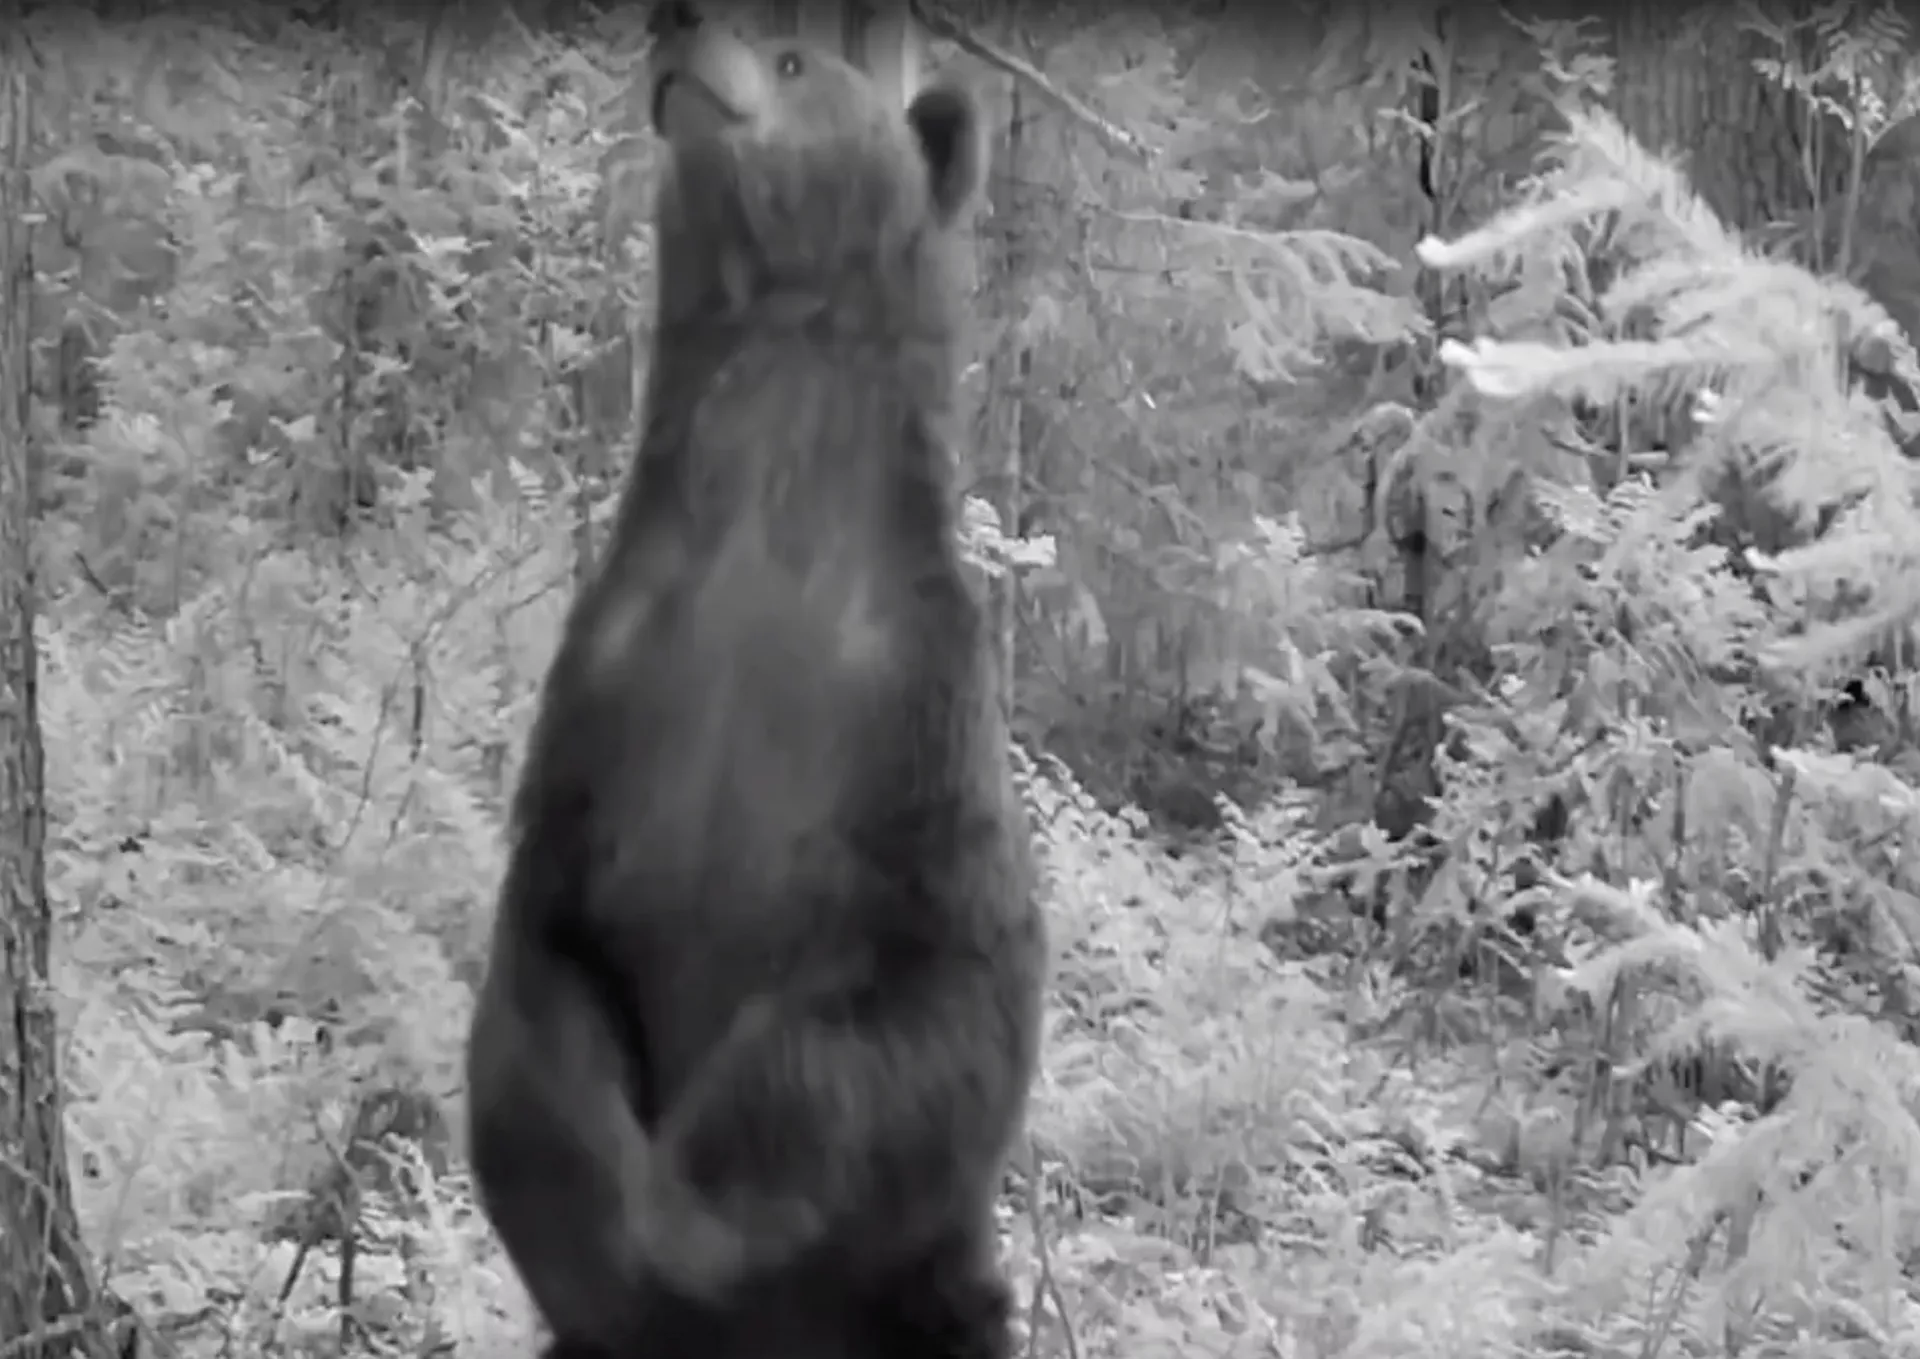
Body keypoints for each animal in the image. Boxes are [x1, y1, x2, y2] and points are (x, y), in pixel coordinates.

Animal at [460, 10, 1052, 1359]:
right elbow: (543, 978)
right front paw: (595, 1219)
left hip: (937, 1303)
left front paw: (684, 1220)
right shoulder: (615, 686)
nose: (678, 25)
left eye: (793, 59)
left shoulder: (905, 711)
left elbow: (917, 1009)